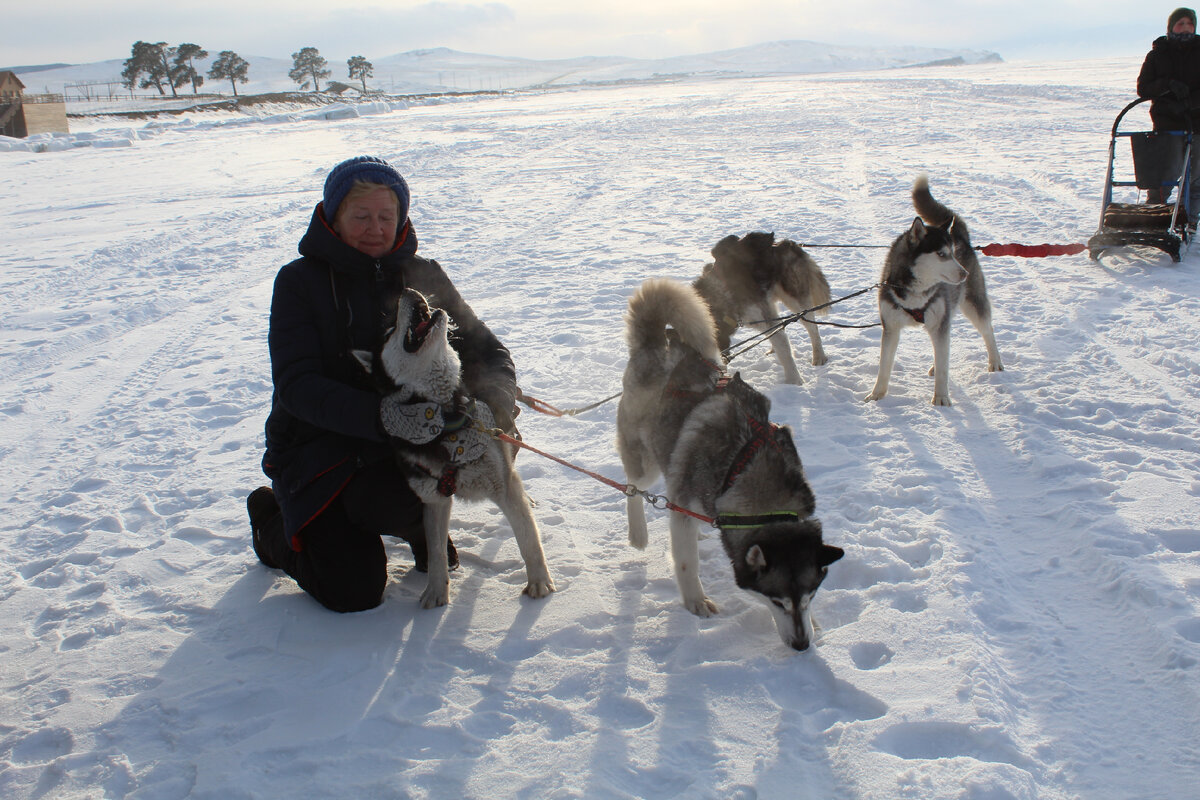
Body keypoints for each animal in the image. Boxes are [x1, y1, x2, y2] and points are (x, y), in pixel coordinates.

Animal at [352, 291, 554, 609]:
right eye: (388, 332)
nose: (409, 291)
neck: (446, 418)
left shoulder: (503, 486)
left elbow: (528, 539)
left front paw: (539, 582)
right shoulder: (433, 498)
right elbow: (436, 552)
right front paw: (436, 591)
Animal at [619, 277, 844, 652]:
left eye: (810, 595)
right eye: (777, 601)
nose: (802, 646)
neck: (743, 466)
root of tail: (655, 343)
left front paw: (814, 624)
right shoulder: (684, 504)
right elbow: (686, 562)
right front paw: (695, 601)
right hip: (646, 460)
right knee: (632, 487)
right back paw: (638, 533)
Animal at [696, 231, 835, 383]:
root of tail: (786, 244)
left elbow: (785, 352)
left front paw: (795, 382)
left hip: (796, 301)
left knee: (812, 328)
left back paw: (819, 356)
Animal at [864, 176, 1003, 407]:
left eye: (952, 253)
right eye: (940, 254)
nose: (964, 273)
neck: (915, 293)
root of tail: (960, 235)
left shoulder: (939, 324)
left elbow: (944, 370)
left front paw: (941, 397)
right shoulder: (891, 327)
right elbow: (884, 366)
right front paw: (877, 394)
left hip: (972, 305)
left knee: (987, 331)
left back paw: (995, 362)